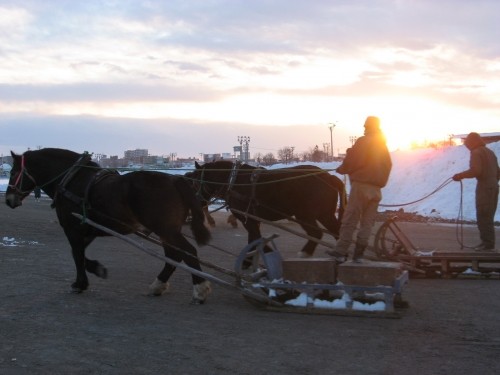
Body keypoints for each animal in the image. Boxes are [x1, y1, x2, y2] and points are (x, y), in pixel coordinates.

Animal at [6, 148, 213, 304]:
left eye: (13, 172)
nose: (8, 199)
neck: (72, 179)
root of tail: (176, 180)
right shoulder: (88, 229)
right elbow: (79, 254)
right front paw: (96, 269)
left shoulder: (72, 229)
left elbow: (76, 254)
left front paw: (80, 283)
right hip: (167, 230)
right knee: (174, 255)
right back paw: (158, 285)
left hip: (166, 229)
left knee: (188, 252)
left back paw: (199, 290)